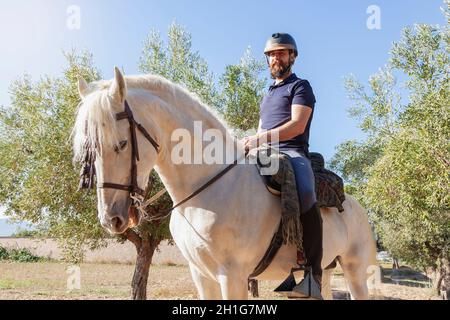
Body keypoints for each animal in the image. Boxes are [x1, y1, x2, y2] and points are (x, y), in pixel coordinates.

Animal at [73, 67, 376, 300]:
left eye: (122, 143)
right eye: (90, 149)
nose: (111, 219)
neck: (207, 188)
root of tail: (355, 204)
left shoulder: (232, 276)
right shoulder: (201, 275)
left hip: (355, 271)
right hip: (325, 272)